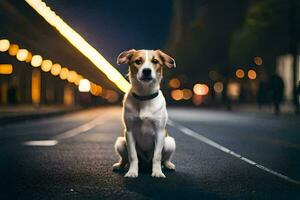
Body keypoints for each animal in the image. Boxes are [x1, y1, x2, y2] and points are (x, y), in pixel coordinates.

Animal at [113, 49, 177, 177]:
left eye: (155, 61)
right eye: (138, 61)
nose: (147, 70)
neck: (144, 96)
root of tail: (146, 164)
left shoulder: (159, 132)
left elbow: (157, 156)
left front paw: (157, 172)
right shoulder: (129, 132)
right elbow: (133, 156)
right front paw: (132, 172)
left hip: (170, 142)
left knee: (164, 159)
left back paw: (168, 165)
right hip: (120, 142)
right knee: (125, 159)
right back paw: (120, 166)